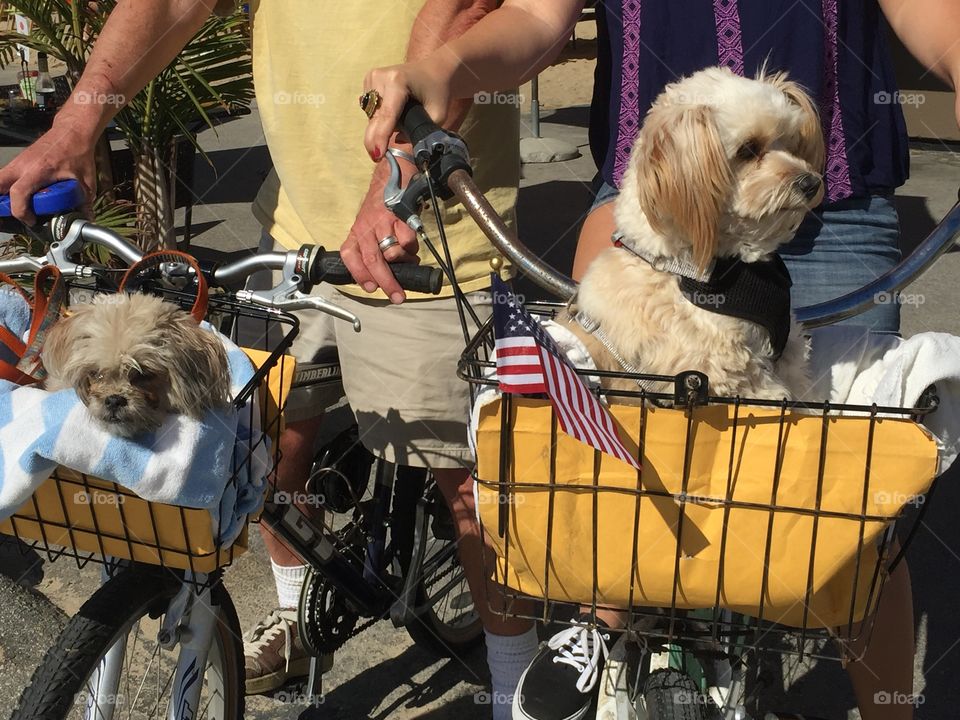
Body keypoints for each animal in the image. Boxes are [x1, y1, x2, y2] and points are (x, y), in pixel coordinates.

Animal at [564, 67, 824, 400]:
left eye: (792, 143)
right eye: (748, 149)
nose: (811, 183)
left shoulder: (788, 349)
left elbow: (806, 394)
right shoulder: (730, 372)